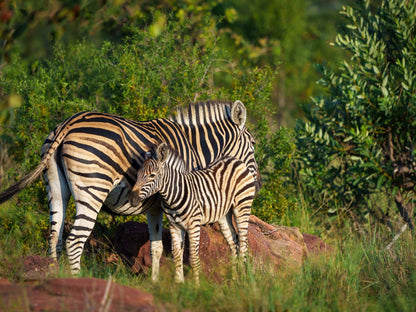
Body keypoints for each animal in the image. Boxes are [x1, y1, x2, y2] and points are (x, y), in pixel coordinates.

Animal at [130, 143, 255, 284]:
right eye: (137, 174)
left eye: (152, 175)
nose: (132, 199)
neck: (174, 196)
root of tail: (236, 160)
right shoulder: (174, 225)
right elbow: (177, 255)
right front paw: (179, 283)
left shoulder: (193, 225)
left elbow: (193, 257)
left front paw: (196, 285)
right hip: (223, 215)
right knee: (234, 243)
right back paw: (234, 280)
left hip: (242, 206)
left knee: (243, 243)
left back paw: (243, 278)